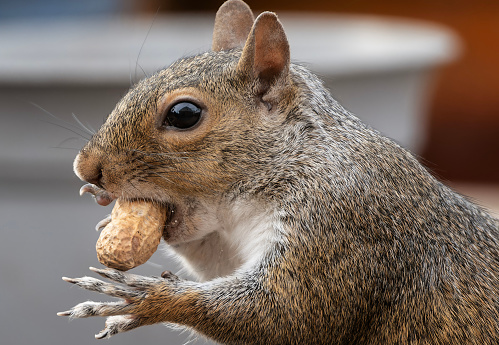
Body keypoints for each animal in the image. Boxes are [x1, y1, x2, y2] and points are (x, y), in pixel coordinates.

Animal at [59, 1, 499, 342]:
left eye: (184, 114)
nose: (86, 169)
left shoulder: (341, 223)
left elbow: (285, 312)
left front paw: (151, 299)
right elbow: (223, 267)